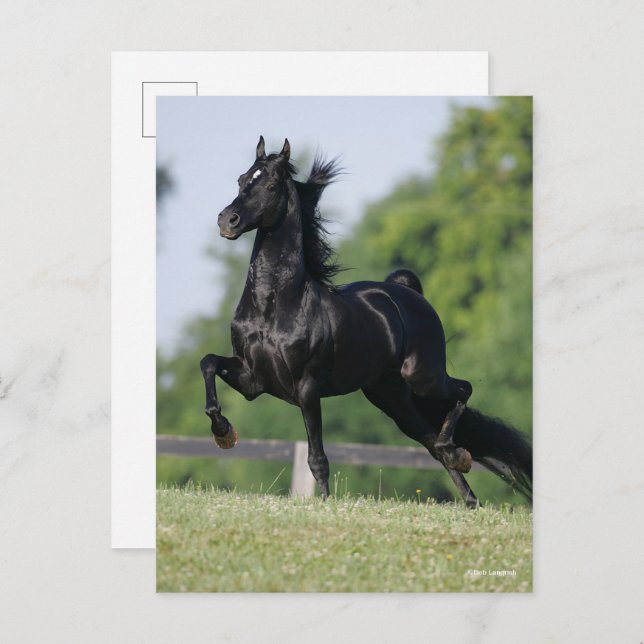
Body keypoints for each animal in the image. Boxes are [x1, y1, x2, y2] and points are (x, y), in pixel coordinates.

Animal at [200, 137, 532, 507]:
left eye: (270, 185)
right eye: (242, 180)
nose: (227, 221)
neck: (273, 306)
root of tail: (408, 293)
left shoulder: (306, 386)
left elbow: (317, 457)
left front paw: (325, 504)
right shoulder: (253, 380)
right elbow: (208, 363)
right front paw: (223, 432)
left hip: (423, 377)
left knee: (463, 391)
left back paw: (457, 455)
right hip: (392, 398)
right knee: (432, 443)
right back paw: (469, 496)